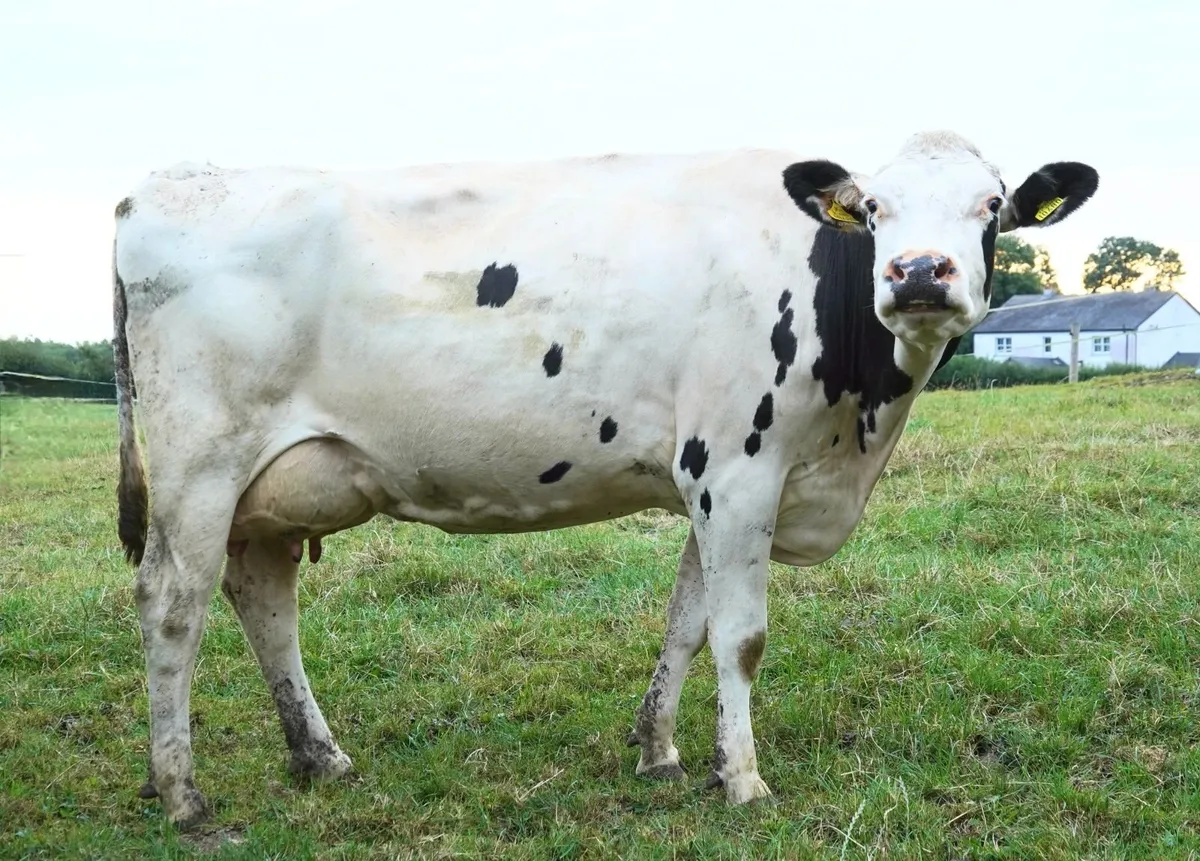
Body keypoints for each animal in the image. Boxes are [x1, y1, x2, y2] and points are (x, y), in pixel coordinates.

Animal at [111, 130, 1097, 828]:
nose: (919, 273)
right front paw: (744, 778)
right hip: (201, 464)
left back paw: (320, 757)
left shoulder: (713, 481)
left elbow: (687, 623)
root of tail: (163, 183)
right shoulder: (739, 467)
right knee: (173, 604)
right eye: (875, 206)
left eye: (992, 204)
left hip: (271, 489)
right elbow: (740, 636)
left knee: (262, 599)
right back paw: (182, 791)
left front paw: (660, 748)